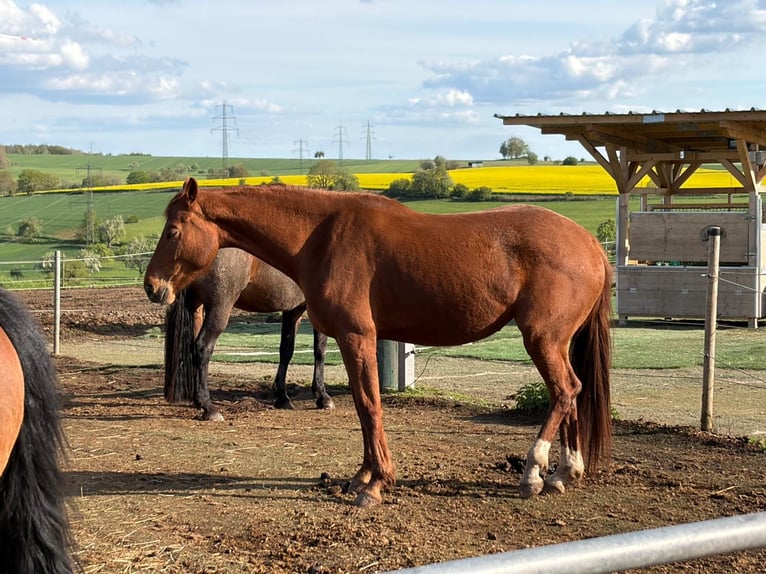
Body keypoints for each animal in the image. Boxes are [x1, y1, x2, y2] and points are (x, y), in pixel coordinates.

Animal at [164, 247, 334, 421]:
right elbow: (320, 351)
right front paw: (322, 397)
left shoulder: (293, 310)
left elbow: (286, 351)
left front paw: (282, 397)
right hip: (219, 308)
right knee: (202, 348)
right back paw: (208, 407)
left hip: (195, 307)